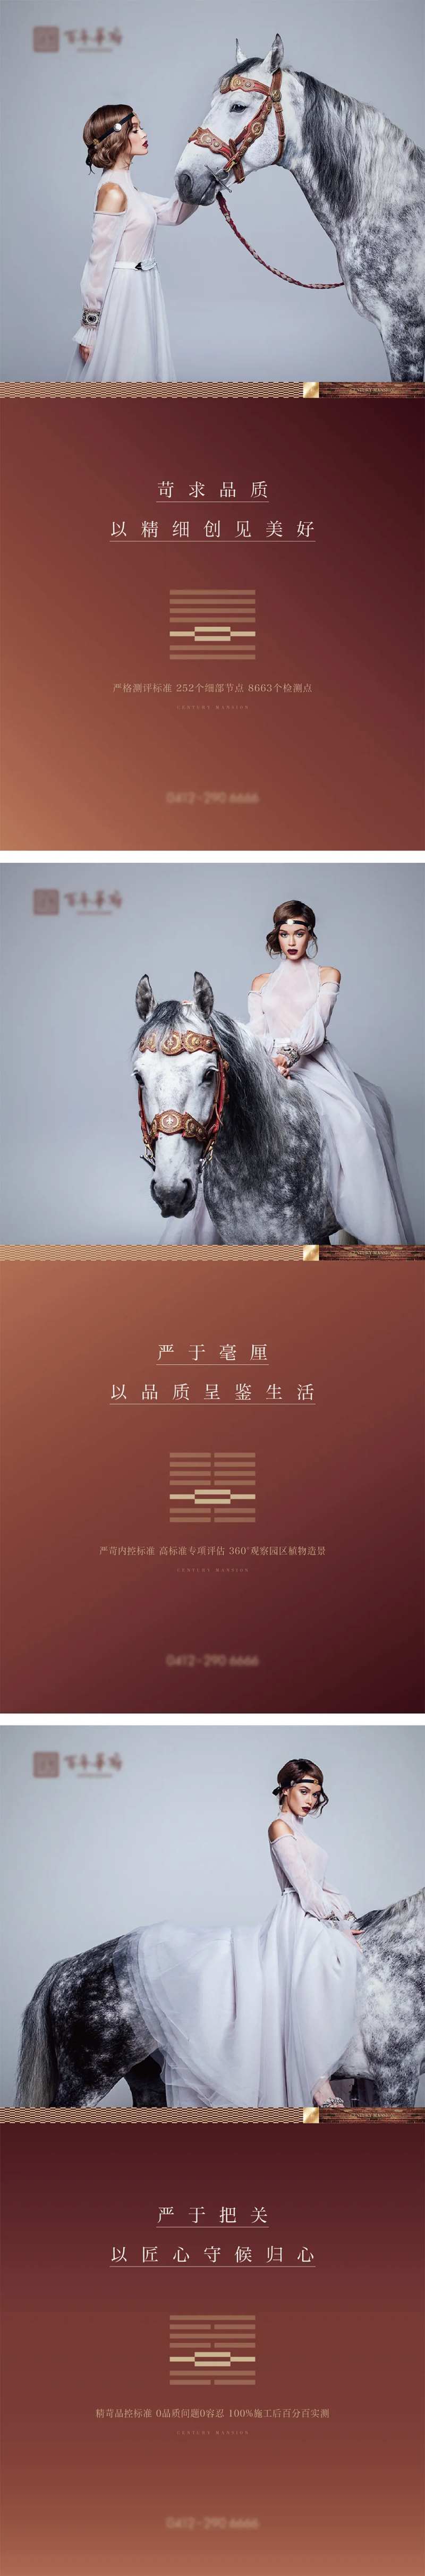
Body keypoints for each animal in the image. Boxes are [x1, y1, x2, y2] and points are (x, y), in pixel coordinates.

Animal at [14, 1887, 425, 2109]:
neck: (395, 1963)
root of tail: (68, 1967)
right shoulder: (396, 2079)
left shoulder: (372, 2085)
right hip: (86, 2082)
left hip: (145, 2081)